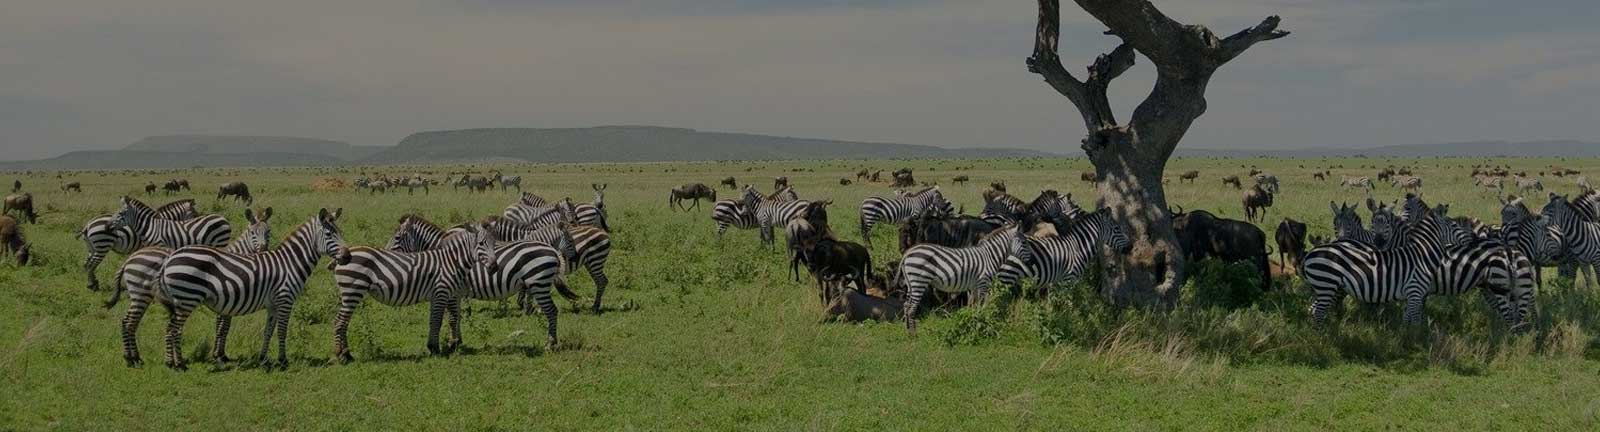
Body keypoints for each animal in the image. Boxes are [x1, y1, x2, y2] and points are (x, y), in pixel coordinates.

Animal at [106, 208, 275, 366]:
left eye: (268, 232)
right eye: (252, 232)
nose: (263, 250)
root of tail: (129, 259)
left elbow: (223, 326)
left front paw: (220, 354)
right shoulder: (227, 300)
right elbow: (223, 327)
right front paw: (219, 355)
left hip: (140, 296)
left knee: (128, 322)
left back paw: (133, 357)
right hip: (141, 295)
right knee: (129, 322)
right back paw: (133, 358)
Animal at [157, 208, 348, 369]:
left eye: (341, 232)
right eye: (329, 234)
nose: (347, 255)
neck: (290, 263)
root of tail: (171, 257)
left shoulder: (273, 305)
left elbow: (268, 332)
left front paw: (264, 359)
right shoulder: (285, 300)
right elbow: (282, 332)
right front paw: (283, 361)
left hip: (181, 300)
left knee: (171, 328)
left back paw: (171, 362)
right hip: (187, 299)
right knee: (174, 330)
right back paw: (178, 364)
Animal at [331, 222, 492, 361]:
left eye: (493, 243)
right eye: (481, 244)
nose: (494, 267)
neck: (450, 261)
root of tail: (342, 256)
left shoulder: (438, 295)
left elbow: (434, 321)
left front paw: (434, 347)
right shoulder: (442, 292)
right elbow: (439, 321)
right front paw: (436, 349)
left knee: (343, 321)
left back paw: (347, 354)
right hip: (353, 290)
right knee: (340, 321)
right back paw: (342, 355)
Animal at [992, 209, 1132, 297]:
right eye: (1117, 229)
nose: (1130, 247)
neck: (1078, 247)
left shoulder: (1055, 282)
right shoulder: (1069, 280)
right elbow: (1067, 304)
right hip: (1006, 277)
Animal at [1299, 200, 1465, 326]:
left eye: (1387, 223)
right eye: (1454, 226)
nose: (1470, 238)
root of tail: (1310, 255)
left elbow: (1408, 315)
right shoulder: (1413, 289)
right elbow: (1415, 318)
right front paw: (1415, 339)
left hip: (1327, 286)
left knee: (1315, 307)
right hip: (1327, 284)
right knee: (1318, 310)